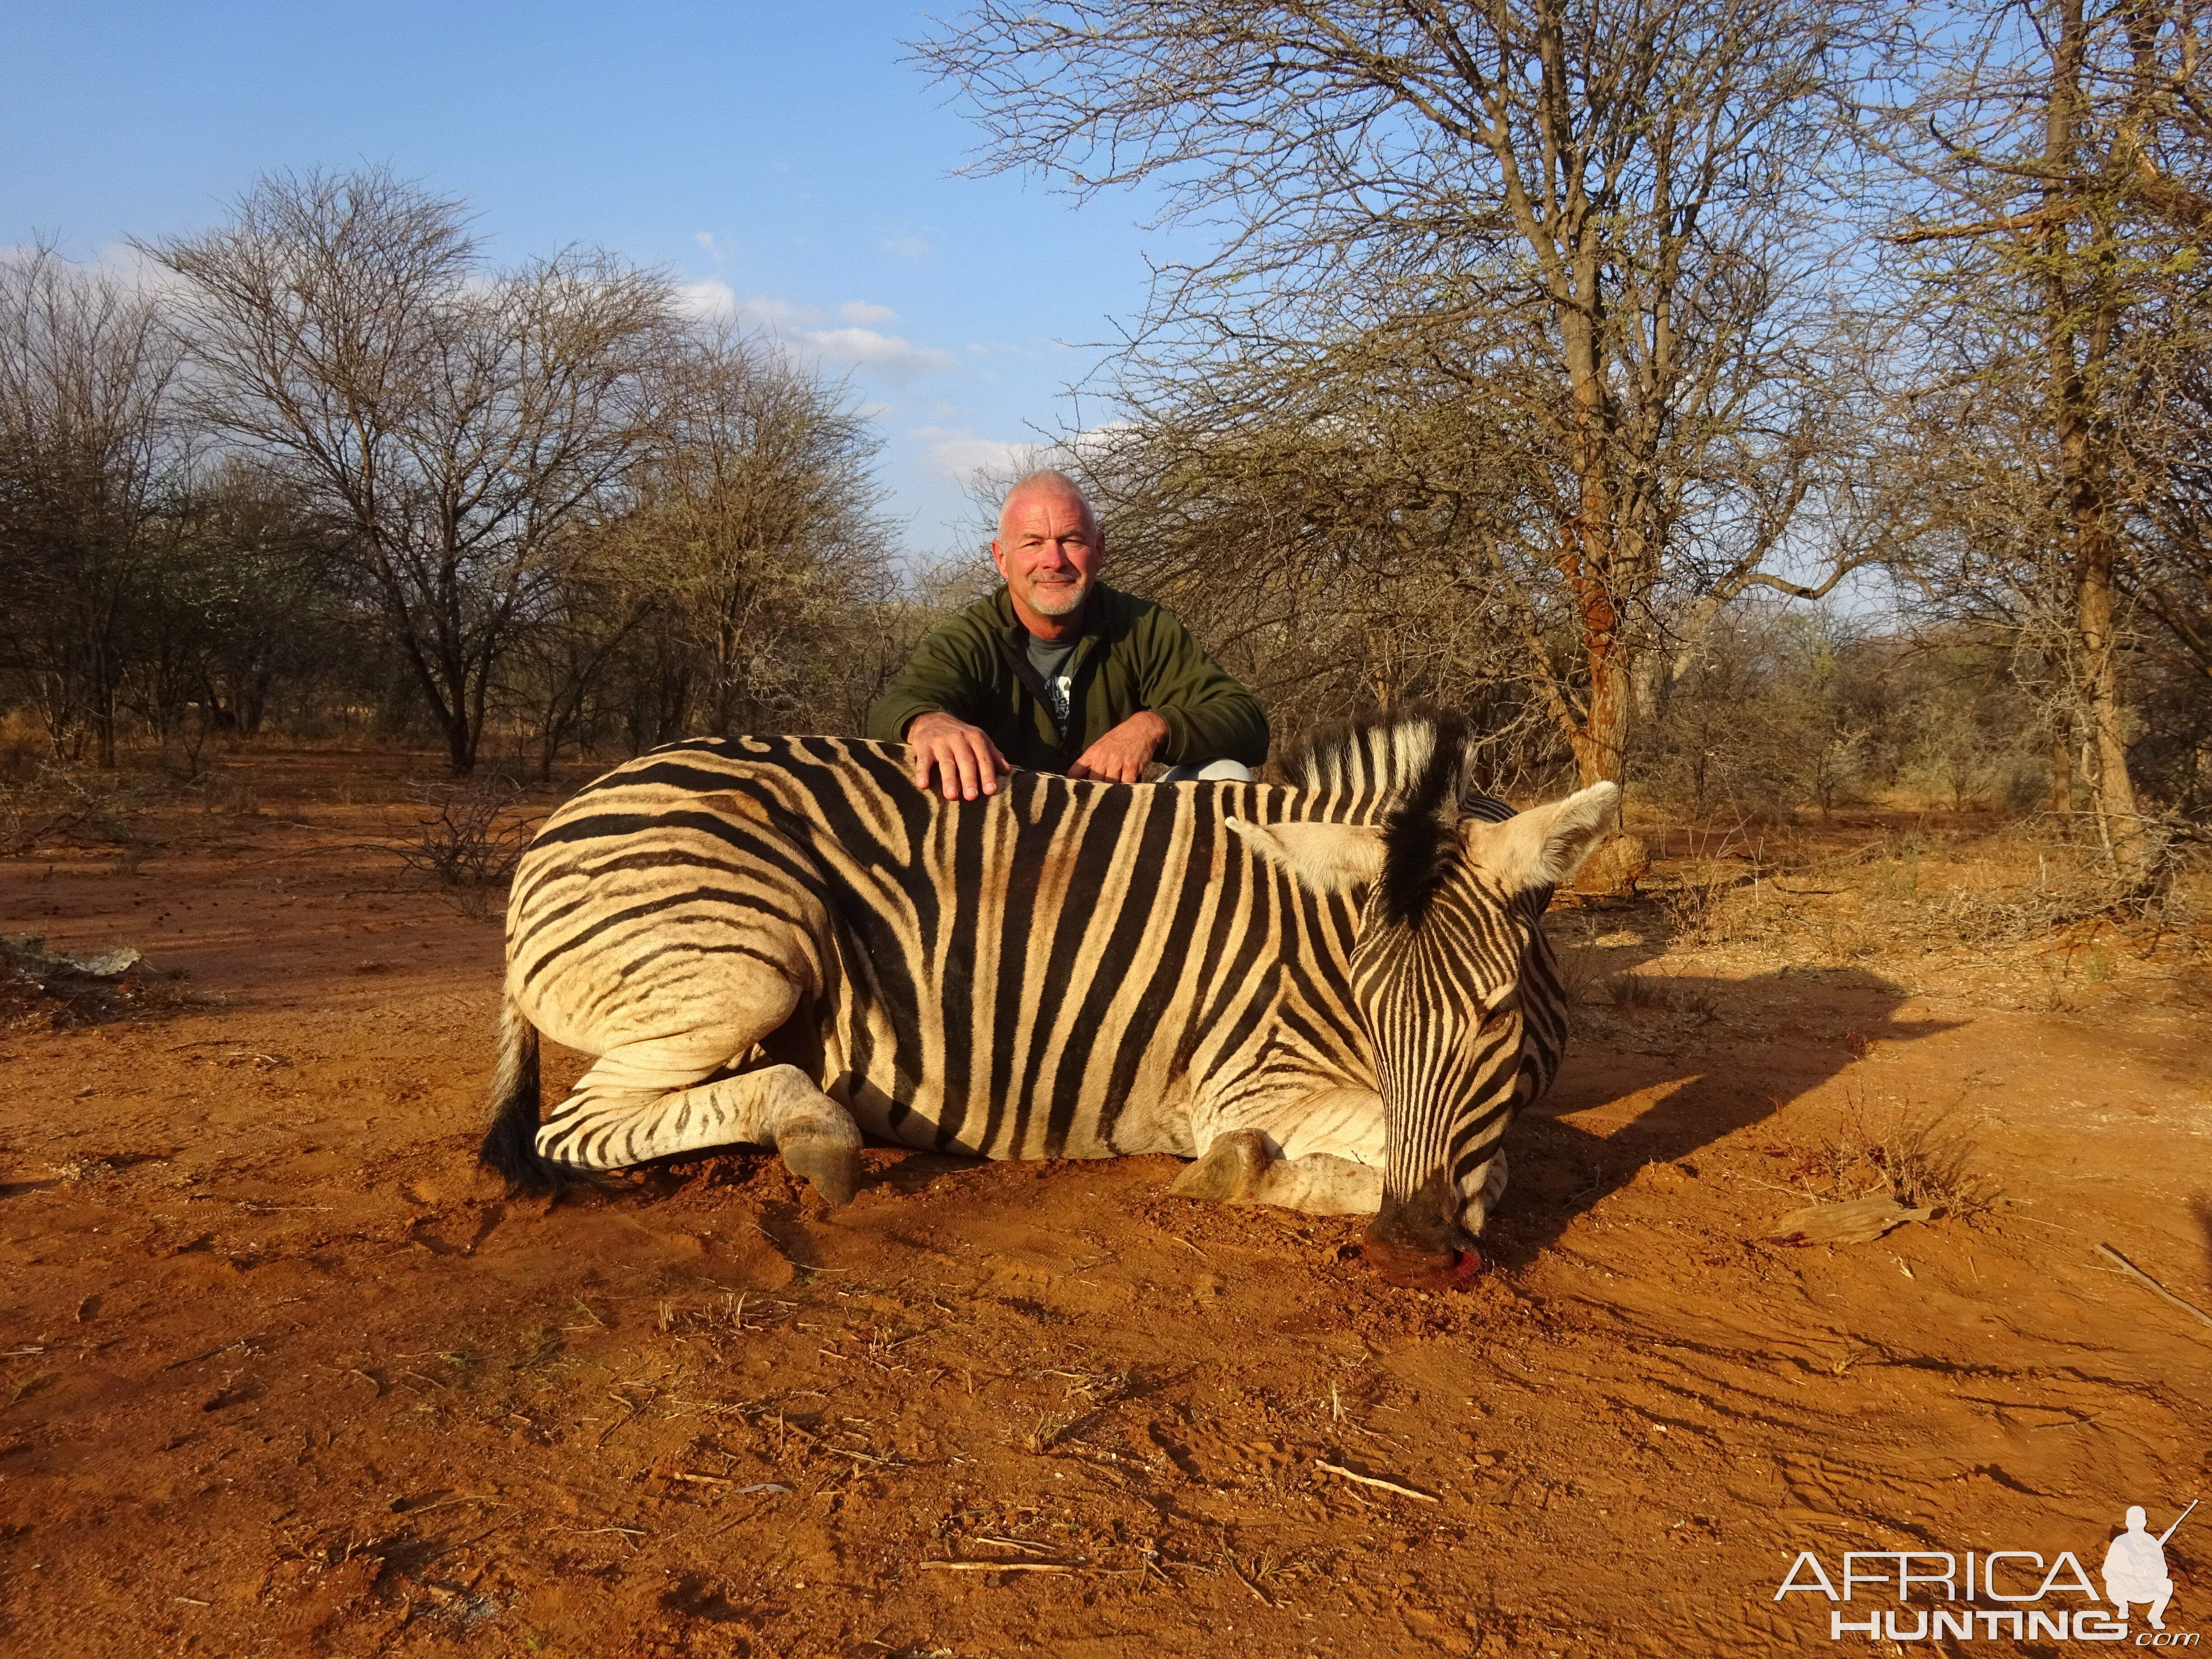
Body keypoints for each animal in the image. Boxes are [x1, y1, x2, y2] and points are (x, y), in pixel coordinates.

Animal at [484, 708, 1619, 1292]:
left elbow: (1475, 1160)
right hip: (746, 960)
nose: (1409, 1252)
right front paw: (1243, 1173)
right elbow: (1480, 1167)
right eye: (1369, 1011)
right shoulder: (1253, 1086)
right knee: (570, 1127)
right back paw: (815, 1132)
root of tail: (571, 812)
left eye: (1494, 1015)